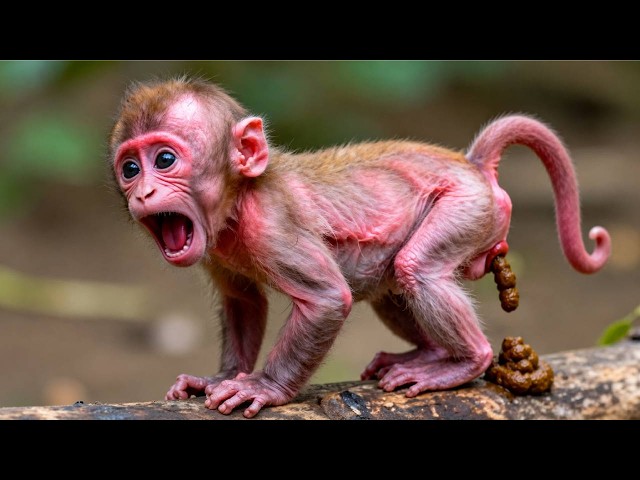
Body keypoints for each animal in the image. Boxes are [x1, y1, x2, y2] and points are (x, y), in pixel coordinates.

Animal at [109, 76, 611, 418]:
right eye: (130, 168)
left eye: (165, 159)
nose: (142, 193)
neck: (239, 200)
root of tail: (471, 164)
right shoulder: (217, 249)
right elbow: (243, 301)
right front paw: (219, 377)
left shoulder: (272, 226)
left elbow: (328, 299)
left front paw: (265, 387)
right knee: (391, 287)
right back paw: (431, 354)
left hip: (468, 205)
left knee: (415, 269)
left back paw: (466, 361)